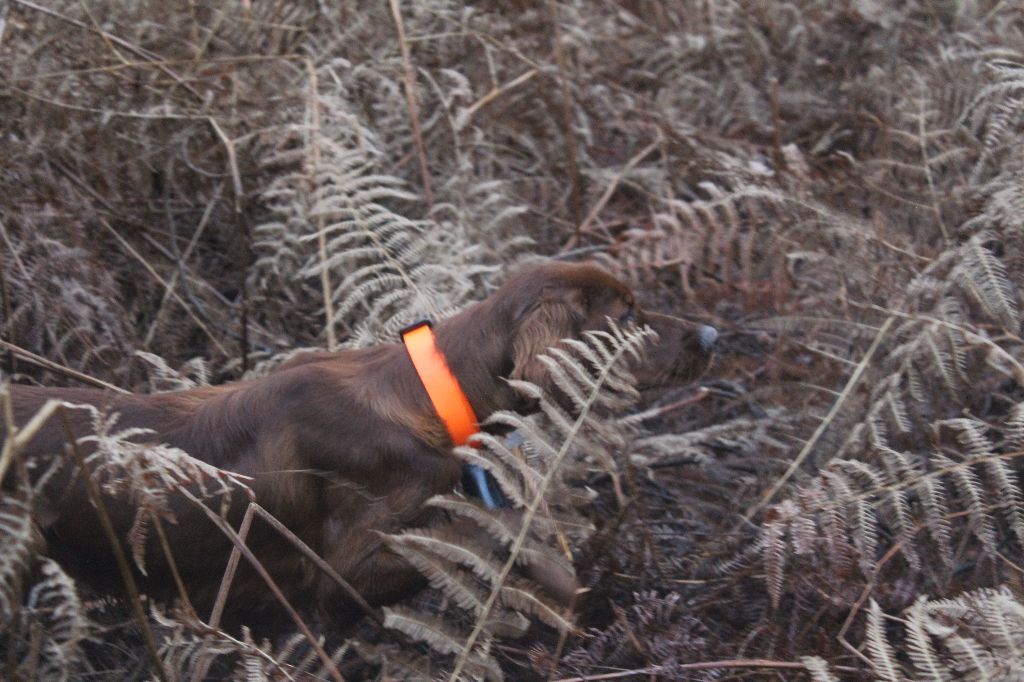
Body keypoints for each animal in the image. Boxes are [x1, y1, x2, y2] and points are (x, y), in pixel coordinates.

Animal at [4, 260, 716, 626]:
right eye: (628, 316)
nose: (712, 335)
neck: (427, 397)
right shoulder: (342, 573)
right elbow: (483, 536)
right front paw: (569, 589)